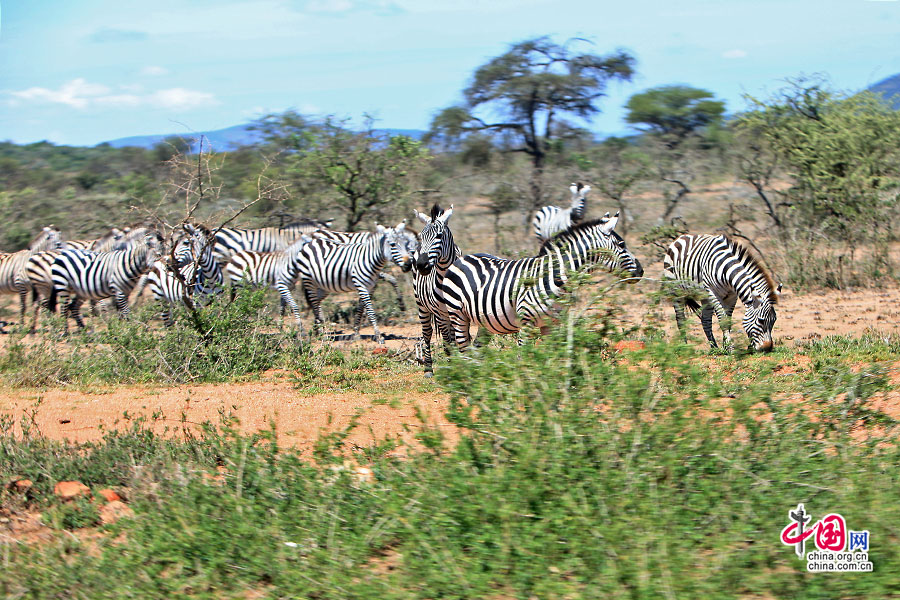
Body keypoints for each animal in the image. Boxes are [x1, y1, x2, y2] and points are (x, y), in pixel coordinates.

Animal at [412, 206, 460, 376]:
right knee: (427, 333)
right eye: (421, 237)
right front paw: (452, 368)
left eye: (439, 236)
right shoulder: (440, 314)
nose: (421, 265)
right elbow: (447, 343)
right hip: (421, 305)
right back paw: (428, 368)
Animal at [442, 214, 640, 352]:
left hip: (485, 321)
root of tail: (462, 258)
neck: (556, 277)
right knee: (464, 351)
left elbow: (549, 358)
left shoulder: (551, 324)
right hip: (457, 315)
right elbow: (523, 357)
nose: (641, 271)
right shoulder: (526, 321)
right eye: (622, 244)